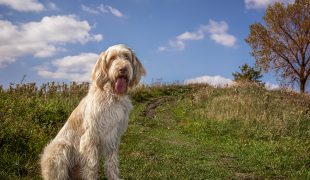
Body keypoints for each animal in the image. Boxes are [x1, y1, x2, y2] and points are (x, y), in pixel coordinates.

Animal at [40, 44, 146, 180]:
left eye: (126, 56)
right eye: (112, 58)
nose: (123, 69)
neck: (112, 95)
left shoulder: (113, 137)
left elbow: (112, 164)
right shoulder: (90, 138)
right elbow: (91, 166)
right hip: (60, 148)